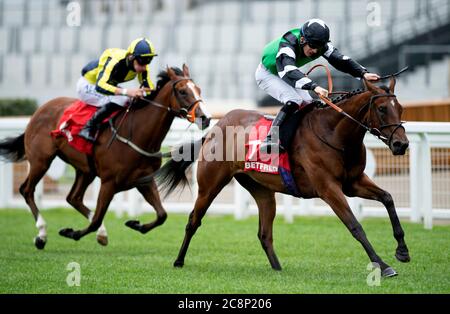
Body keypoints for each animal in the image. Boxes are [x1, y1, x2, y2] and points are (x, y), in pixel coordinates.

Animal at [0, 65, 211, 249]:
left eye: (199, 89)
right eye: (183, 91)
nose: (205, 118)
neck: (136, 135)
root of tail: (39, 110)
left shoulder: (143, 180)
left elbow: (162, 215)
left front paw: (135, 224)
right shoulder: (109, 182)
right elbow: (96, 219)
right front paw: (71, 232)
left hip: (85, 170)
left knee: (73, 197)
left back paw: (99, 232)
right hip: (41, 160)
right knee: (27, 190)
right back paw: (42, 234)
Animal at [156, 78, 412, 278]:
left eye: (400, 108)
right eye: (382, 108)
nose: (401, 144)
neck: (334, 133)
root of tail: (214, 129)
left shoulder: (354, 182)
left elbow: (387, 198)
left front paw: (402, 251)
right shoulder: (328, 188)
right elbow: (355, 225)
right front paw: (384, 266)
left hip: (262, 191)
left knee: (264, 234)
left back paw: (278, 269)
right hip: (210, 185)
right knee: (193, 221)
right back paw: (178, 261)